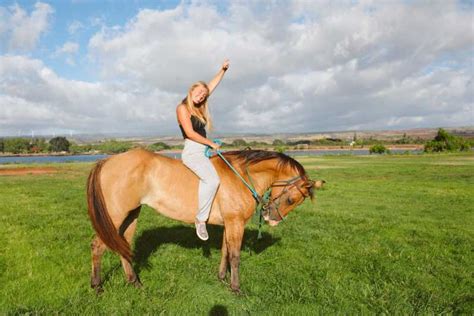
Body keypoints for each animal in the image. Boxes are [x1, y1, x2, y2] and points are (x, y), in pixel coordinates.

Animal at [87, 148, 320, 294]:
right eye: (291, 199)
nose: (271, 219)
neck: (240, 176)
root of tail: (107, 160)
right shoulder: (236, 223)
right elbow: (235, 256)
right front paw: (236, 288)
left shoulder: (230, 223)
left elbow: (225, 251)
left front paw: (222, 278)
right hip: (115, 215)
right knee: (97, 246)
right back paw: (97, 286)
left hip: (131, 215)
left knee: (123, 246)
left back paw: (134, 282)